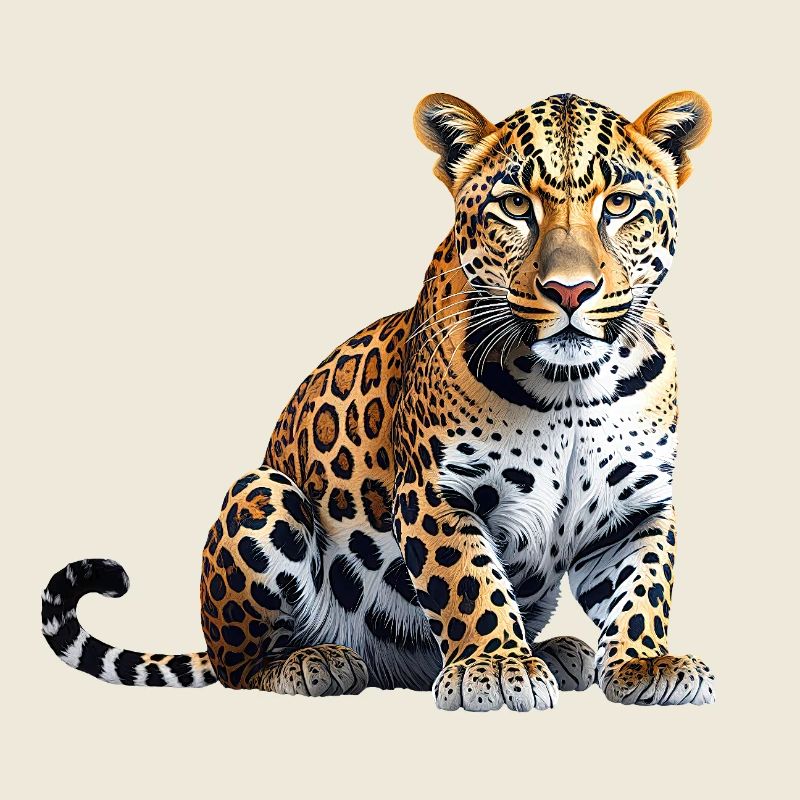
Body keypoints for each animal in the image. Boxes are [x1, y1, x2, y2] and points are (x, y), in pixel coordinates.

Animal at [43, 90, 715, 711]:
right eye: (516, 205)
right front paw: (496, 668)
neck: (573, 383)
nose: (570, 290)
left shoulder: (639, 507)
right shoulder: (437, 492)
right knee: (239, 666)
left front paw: (645, 665)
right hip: (264, 494)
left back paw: (556, 651)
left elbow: (644, 588)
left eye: (619, 204)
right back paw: (314, 663)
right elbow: (469, 581)